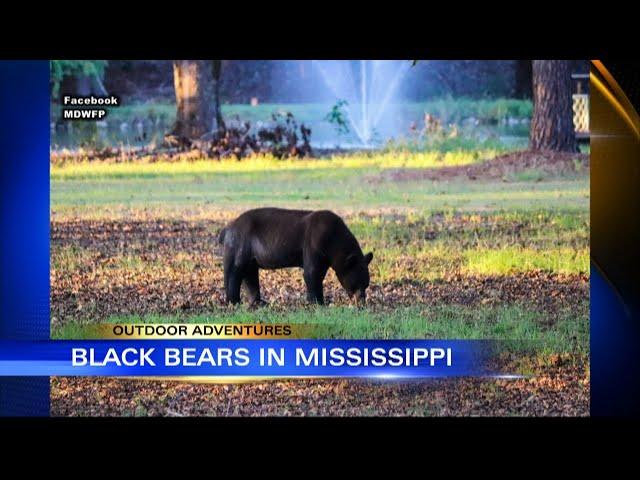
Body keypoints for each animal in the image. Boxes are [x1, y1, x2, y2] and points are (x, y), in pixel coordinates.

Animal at [218, 207, 372, 306]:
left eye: (366, 284)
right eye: (356, 283)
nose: (362, 302)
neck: (335, 240)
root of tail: (227, 228)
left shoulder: (324, 257)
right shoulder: (314, 243)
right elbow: (312, 273)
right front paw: (317, 302)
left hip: (250, 255)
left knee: (250, 275)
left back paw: (258, 302)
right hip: (238, 243)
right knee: (234, 272)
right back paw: (234, 302)